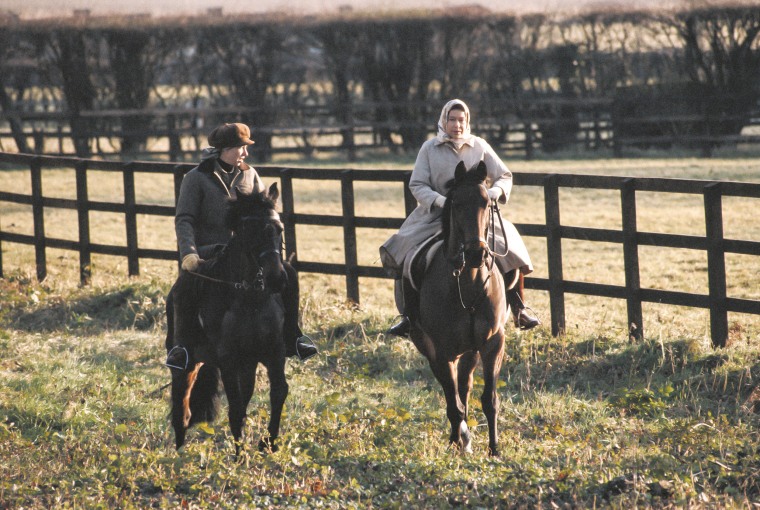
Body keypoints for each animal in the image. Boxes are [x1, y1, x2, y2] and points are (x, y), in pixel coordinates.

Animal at [166, 183, 288, 454]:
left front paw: (268, 443)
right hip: (187, 360)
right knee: (182, 403)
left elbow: (278, 393)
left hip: (247, 365)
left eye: (279, 229)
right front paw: (239, 457)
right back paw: (178, 452)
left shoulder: (273, 354)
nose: (276, 278)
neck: (250, 300)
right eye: (249, 230)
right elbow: (236, 410)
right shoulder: (229, 360)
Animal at [406, 161, 508, 456]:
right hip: (430, 347)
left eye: (486, 202)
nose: (476, 253)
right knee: (451, 392)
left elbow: (489, 400)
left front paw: (494, 450)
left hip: (470, 350)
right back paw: (459, 437)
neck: (470, 283)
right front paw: (459, 440)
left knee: (464, 386)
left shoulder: (493, 343)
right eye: (456, 204)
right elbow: (453, 404)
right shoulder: (442, 350)